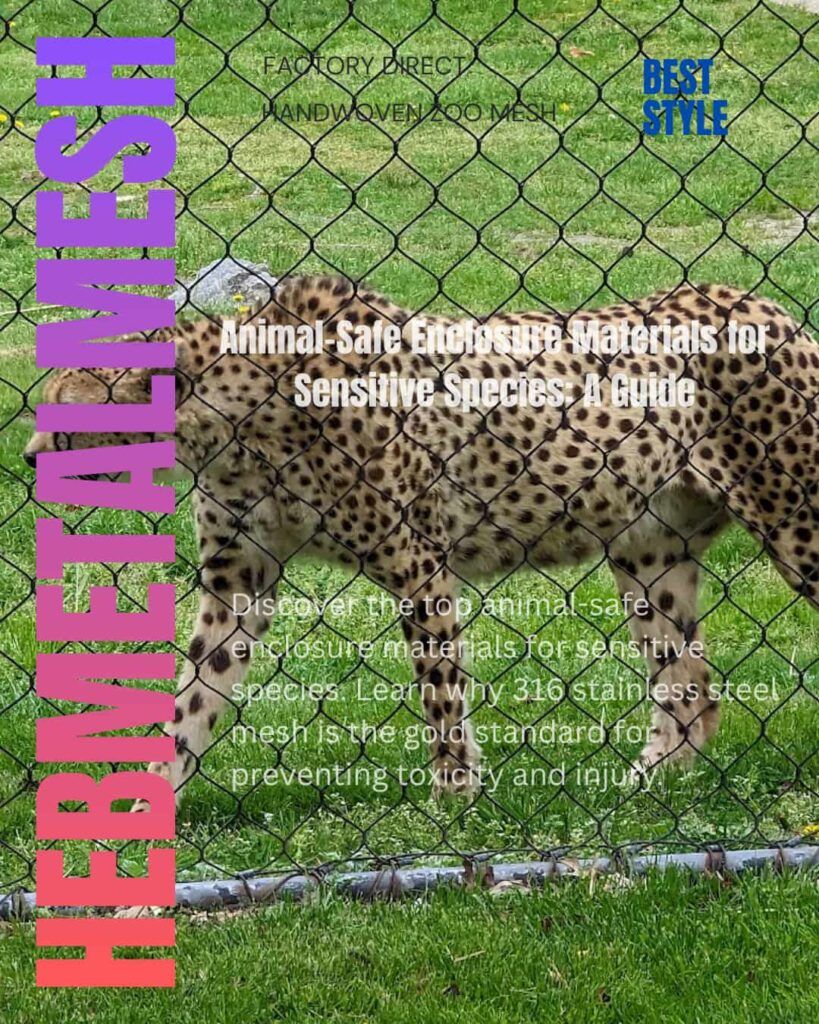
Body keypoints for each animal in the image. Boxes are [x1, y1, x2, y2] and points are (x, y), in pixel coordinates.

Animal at [24, 275, 819, 809]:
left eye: (67, 422)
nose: (30, 461)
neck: (232, 418)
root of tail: (761, 304)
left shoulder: (419, 568)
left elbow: (439, 697)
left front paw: (453, 801)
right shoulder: (236, 584)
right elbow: (189, 703)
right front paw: (142, 816)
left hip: (793, 522)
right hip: (648, 548)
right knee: (690, 689)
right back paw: (638, 790)